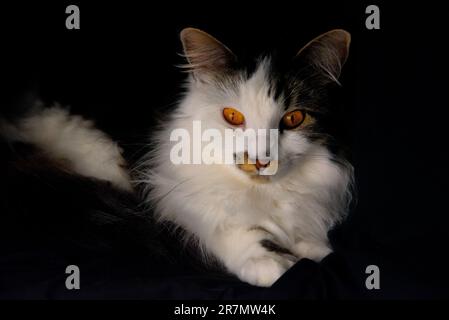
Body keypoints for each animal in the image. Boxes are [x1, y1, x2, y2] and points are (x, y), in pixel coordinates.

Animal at [140, 28, 354, 286]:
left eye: (294, 119)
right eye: (232, 116)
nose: (260, 160)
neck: (265, 193)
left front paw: (314, 248)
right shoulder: (177, 195)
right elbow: (236, 225)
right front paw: (270, 262)